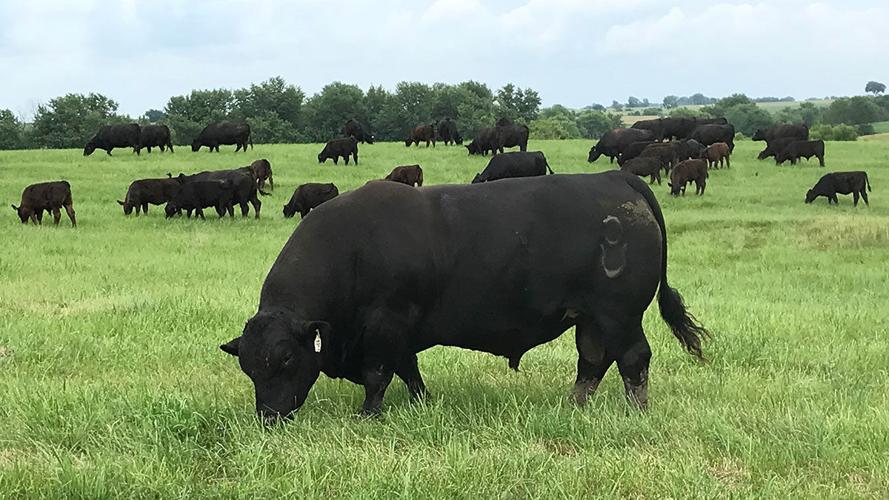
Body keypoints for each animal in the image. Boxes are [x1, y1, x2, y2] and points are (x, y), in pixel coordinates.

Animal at [219, 172, 709, 421]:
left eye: (286, 358)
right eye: (247, 366)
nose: (269, 417)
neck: (352, 248)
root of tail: (617, 178)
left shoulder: (385, 325)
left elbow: (379, 375)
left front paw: (368, 416)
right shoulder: (401, 333)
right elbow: (408, 369)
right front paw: (422, 401)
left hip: (618, 314)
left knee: (633, 359)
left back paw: (636, 413)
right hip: (589, 317)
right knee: (592, 361)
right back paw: (573, 406)